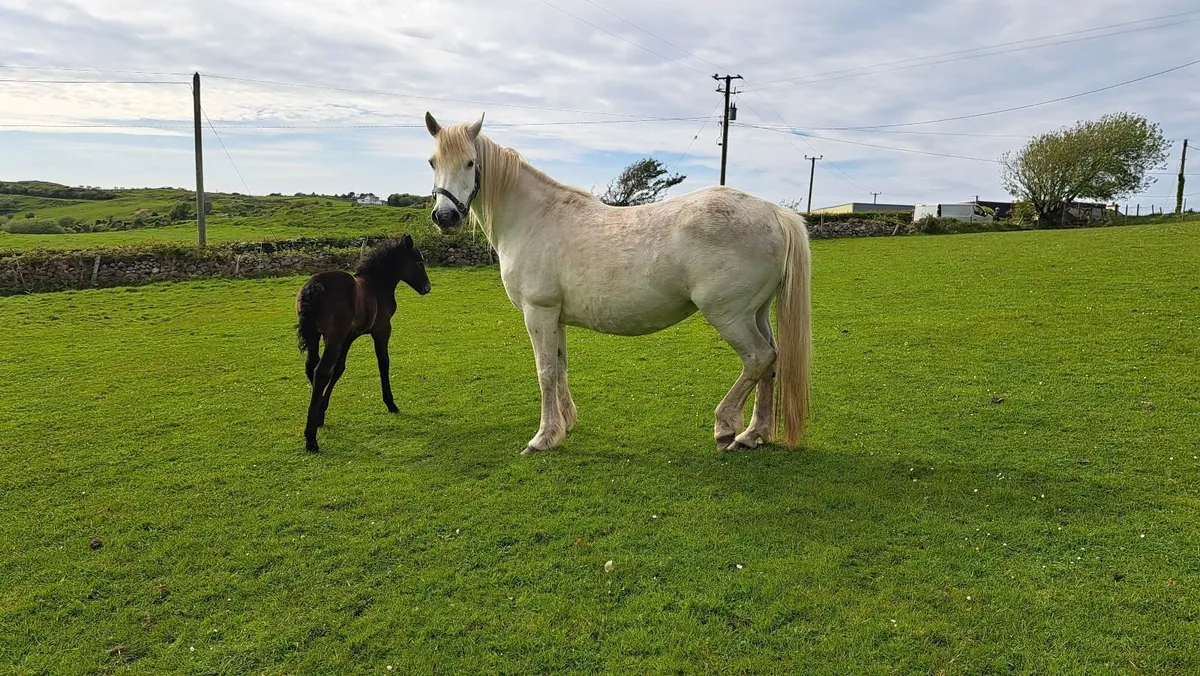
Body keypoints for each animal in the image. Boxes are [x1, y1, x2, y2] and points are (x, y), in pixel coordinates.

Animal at [295, 235, 431, 452]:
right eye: (419, 262)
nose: (427, 288)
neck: (376, 285)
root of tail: (313, 288)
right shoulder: (382, 329)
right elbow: (383, 362)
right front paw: (391, 403)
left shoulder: (349, 336)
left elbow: (339, 368)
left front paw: (322, 411)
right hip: (333, 338)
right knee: (321, 371)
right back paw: (311, 439)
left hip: (316, 336)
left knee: (312, 367)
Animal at [422, 112, 813, 456]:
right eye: (431, 161)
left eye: (470, 162)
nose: (445, 216)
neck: (534, 218)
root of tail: (775, 213)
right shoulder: (555, 317)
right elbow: (560, 368)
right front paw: (565, 424)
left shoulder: (538, 312)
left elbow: (545, 372)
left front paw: (543, 438)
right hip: (756, 313)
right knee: (772, 361)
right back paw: (754, 434)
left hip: (728, 315)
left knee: (758, 358)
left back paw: (726, 427)